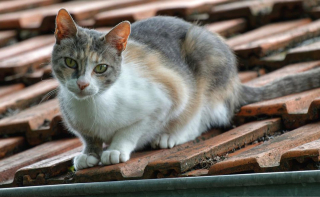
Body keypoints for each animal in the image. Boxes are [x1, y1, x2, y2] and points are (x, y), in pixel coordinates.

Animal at [52, 8, 320, 170]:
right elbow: (88, 136)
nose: (83, 84)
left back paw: (172, 135)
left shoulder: (166, 96)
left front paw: (117, 148)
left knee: (202, 116)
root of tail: (235, 83)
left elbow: (133, 128)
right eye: (70, 62)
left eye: (101, 68)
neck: (94, 105)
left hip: (205, 63)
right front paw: (90, 152)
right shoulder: (77, 119)